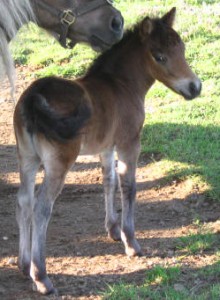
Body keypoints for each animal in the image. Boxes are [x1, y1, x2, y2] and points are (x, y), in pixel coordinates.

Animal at [14, 7, 201, 296]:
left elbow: (108, 181)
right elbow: (129, 187)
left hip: (27, 158)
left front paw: (113, 229)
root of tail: (33, 97)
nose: (195, 87)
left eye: (182, 48)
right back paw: (41, 276)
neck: (120, 85)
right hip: (58, 163)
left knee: (23, 201)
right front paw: (131, 242)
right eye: (159, 56)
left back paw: (24, 265)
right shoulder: (129, 143)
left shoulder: (106, 147)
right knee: (41, 207)